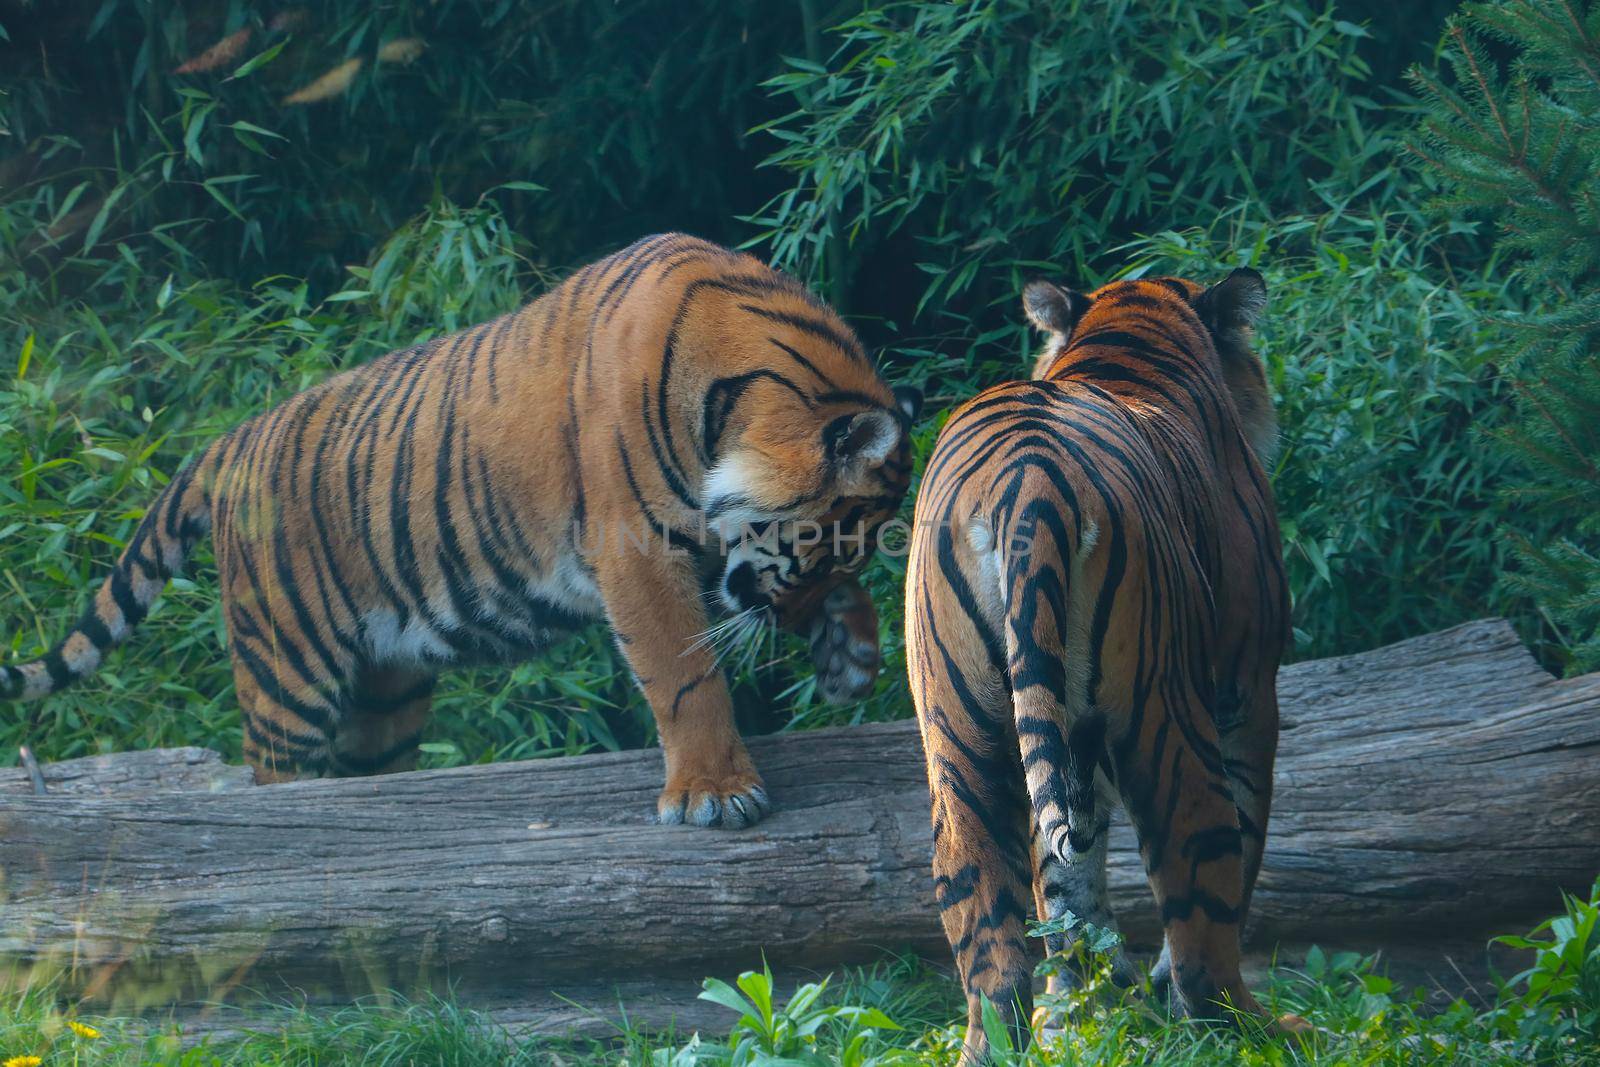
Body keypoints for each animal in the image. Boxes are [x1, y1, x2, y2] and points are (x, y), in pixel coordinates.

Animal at [0, 233, 921, 825]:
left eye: (845, 556)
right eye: (820, 548)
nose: (791, 622)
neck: (738, 398)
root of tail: (234, 439)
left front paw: (852, 652)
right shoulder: (638, 552)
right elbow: (684, 676)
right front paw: (714, 792)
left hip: (387, 690)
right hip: (287, 667)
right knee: (275, 777)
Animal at [908, 268, 1292, 1062]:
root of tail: (1026, 480)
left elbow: (1067, 888)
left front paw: (1085, 1015)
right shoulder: (1249, 692)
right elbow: (1244, 842)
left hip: (960, 737)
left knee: (989, 937)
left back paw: (997, 1042)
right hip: (1166, 715)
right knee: (1203, 884)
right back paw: (1258, 1030)